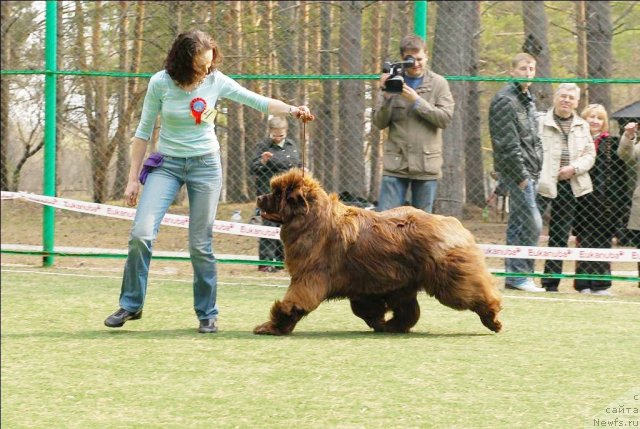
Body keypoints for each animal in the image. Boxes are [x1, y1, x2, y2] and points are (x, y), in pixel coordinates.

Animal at [252, 168, 502, 334]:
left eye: (277, 194)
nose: (259, 197)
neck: (311, 219)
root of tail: (453, 224)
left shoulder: (309, 277)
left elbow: (293, 303)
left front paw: (271, 327)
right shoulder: (363, 286)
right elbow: (366, 309)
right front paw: (379, 322)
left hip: (448, 278)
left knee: (476, 293)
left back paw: (492, 318)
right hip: (403, 284)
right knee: (409, 311)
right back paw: (392, 326)